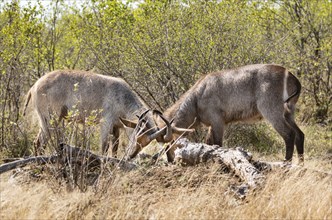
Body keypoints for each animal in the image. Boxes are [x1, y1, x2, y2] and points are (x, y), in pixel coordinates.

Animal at [22, 69, 171, 157]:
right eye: (136, 138)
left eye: (145, 144)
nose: (131, 155)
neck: (121, 96)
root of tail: (34, 86)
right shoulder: (105, 124)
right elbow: (104, 147)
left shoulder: (116, 128)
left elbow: (114, 149)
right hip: (49, 120)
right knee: (39, 142)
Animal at [130, 63, 306, 163]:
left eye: (171, 143)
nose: (171, 161)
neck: (197, 96)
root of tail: (291, 75)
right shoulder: (211, 125)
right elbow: (209, 144)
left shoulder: (218, 122)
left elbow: (218, 145)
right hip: (289, 113)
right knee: (300, 134)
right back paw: (300, 166)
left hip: (272, 111)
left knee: (289, 135)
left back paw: (286, 165)